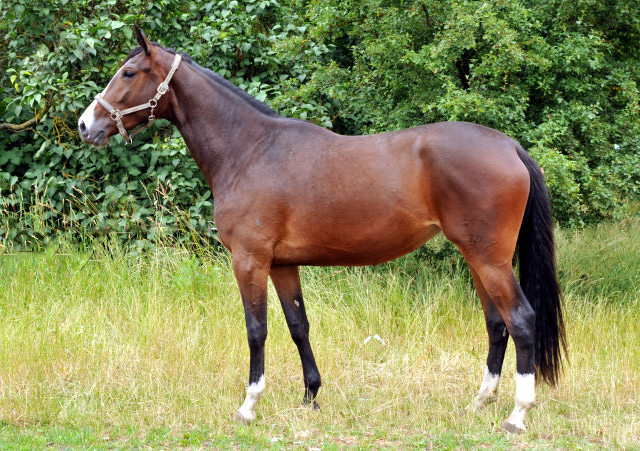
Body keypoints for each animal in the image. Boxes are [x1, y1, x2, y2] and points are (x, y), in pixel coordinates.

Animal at [79, 25, 564, 434]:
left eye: (128, 72)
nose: (86, 124)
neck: (249, 149)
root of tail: (510, 146)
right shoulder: (282, 265)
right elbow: (299, 326)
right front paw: (310, 396)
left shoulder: (249, 261)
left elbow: (257, 330)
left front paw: (249, 405)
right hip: (478, 258)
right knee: (497, 324)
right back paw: (480, 402)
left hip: (489, 259)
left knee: (521, 320)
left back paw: (517, 414)